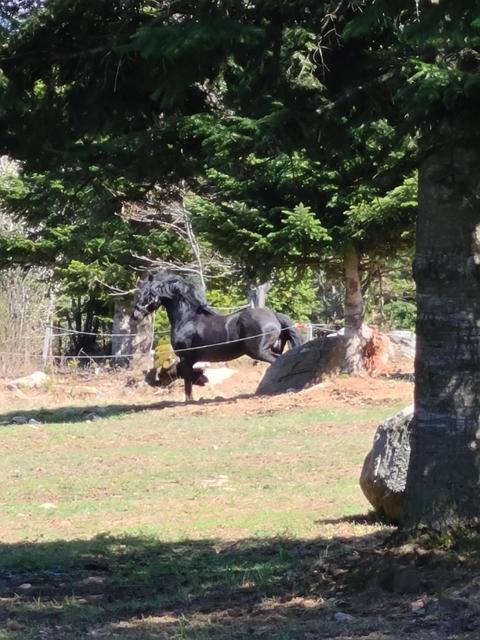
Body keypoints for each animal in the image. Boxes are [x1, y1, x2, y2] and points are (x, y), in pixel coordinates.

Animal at [132, 272, 300, 402]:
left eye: (148, 293)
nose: (136, 314)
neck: (188, 319)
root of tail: (274, 316)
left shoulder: (185, 357)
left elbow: (187, 379)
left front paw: (190, 399)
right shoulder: (190, 360)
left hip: (259, 351)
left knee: (278, 362)